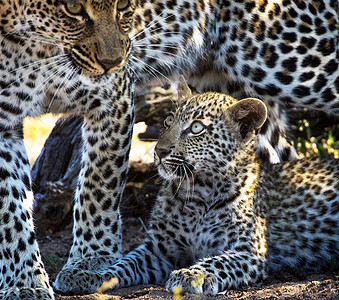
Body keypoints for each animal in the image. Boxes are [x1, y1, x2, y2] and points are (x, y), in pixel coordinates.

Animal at [0, 0, 338, 298]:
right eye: (168, 121)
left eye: (196, 129)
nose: (160, 151)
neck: (198, 192)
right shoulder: (158, 251)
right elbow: (15, 215)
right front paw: (72, 275)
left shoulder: (246, 253)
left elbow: (98, 191)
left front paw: (192, 274)